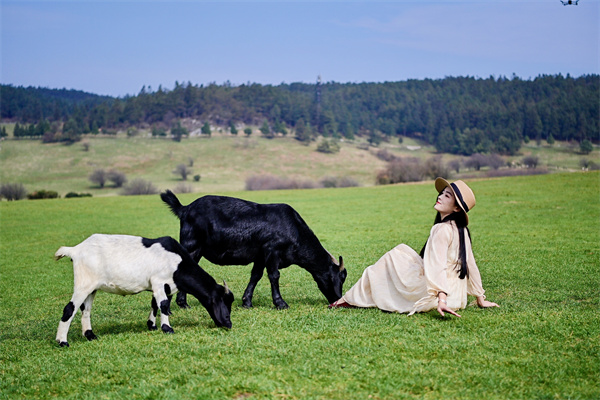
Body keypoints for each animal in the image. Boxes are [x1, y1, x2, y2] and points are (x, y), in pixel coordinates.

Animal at [54, 234, 233, 346]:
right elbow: (164, 305)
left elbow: (155, 304)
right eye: (221, 301)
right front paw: (167, 328)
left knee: (86, 310)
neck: (178, 263)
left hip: (92, 287)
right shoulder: (159, 281)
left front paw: (152, 325)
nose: (228, 323)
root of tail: (75, 249)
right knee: (69, 309)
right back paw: (62, 341)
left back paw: (90, 335)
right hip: (83, 283)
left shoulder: (160, 286)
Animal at [161, 191, 346, 310]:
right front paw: (280, 303)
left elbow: (255, 276)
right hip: (191, 246)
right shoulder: (272, 251)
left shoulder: (260, 256)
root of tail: (185, 208)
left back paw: (183, 304)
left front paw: (246, 302)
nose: (338, 299)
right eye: (340, 277)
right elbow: (274, 276)